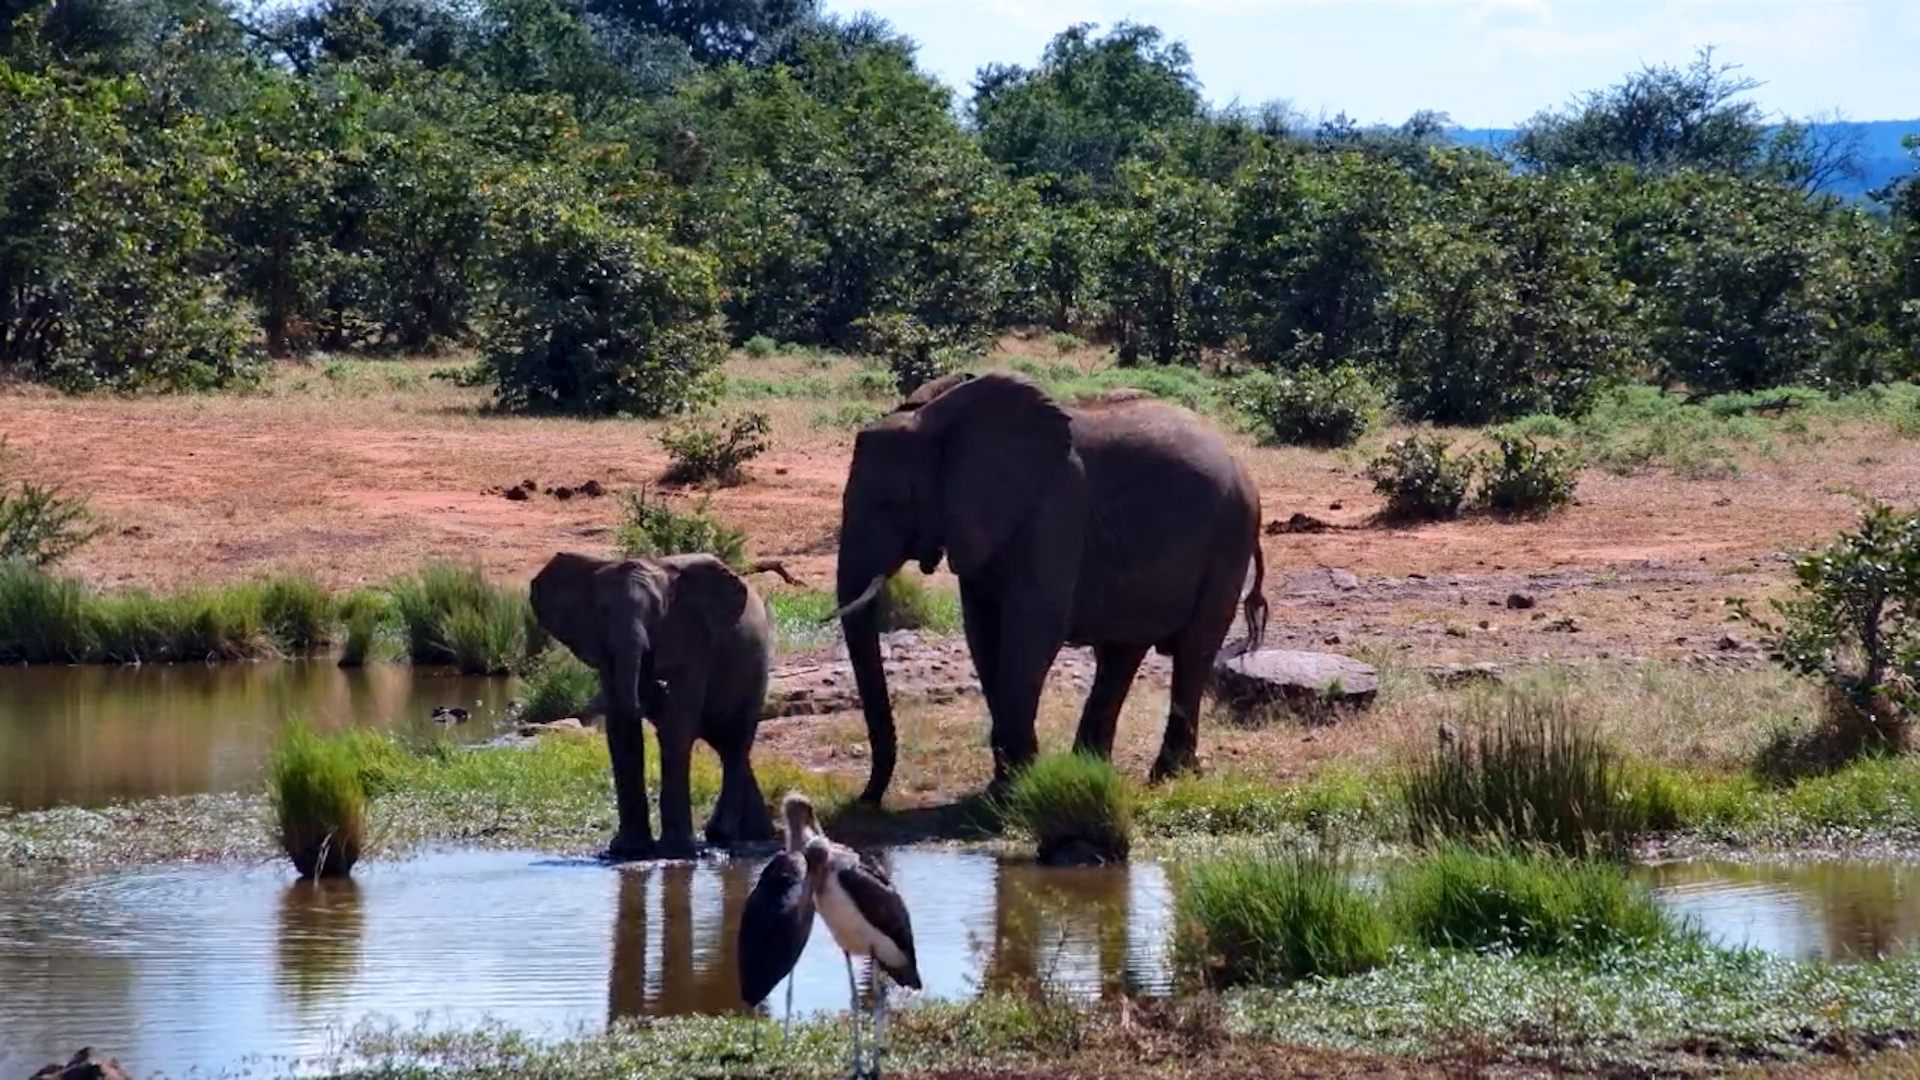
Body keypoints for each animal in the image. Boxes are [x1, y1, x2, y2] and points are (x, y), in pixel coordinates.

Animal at [529, 550, 777, 860]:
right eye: (602, 610)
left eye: (657, 612)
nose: (657, 686)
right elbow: (621, 727)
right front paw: (628, 851)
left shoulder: (692, 638)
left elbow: (676, 725)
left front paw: (676, 853)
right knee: (723, 742)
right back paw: (755, 835)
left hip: (755, 668)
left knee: (735, 742)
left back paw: (723, 834)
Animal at [831, 370, 1269, 806]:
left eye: (890, 503)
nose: (865, 799)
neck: (938, 422)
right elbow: (983, 632)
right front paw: (1005, 788)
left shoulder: (1054, 511)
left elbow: (1032, 629)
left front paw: (1015, 792)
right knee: (1121, 654)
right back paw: (1094, 769)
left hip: (1231, 536)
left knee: (1193, 651)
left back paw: (1167, 776)